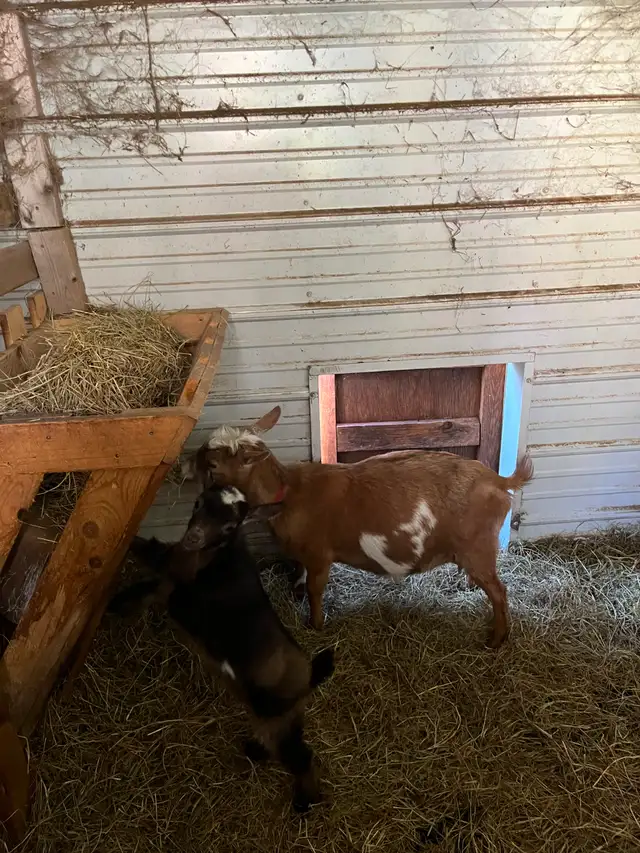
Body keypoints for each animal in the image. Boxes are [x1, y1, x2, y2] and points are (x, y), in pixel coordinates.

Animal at [109, 484, 335, 813]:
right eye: (198, 503)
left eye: (230, 525)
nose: (193, 537)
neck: (216, 558)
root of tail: (309, 675)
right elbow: (151, 567)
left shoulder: (179, 588)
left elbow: (153, 576)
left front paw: (119, 602)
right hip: (281, 716)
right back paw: (255, 751)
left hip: (277, 715)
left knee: (301, 757)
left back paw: (304, 803)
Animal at [182, 406, 534, 649]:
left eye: (212, 463)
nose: (184, 464)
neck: (292, 492)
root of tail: (500, 481)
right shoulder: (303, 554)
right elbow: (299, 573)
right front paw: (297, 594)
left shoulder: (320, 554)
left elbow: (316, 589)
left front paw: (316, 625)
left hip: (478, 547)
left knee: (500, 591)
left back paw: (496, 639)